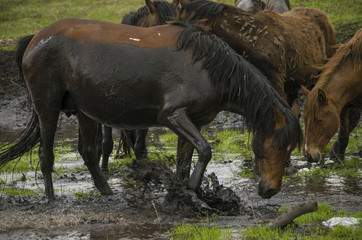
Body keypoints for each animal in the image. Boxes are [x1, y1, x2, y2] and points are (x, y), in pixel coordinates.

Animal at [0, 19, 302, 201]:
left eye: (290, 150)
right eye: (274, 147)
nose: (270, 190)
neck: (207, 67)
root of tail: (36, 38)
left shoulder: (194, 122)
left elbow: (186, 161)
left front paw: (185, 193)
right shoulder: (172, 115)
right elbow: (206, 150)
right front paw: (193, 188)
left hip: (85, 112)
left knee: (88, 152)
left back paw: (107, 192)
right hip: (47, 108)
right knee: (46, 155)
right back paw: (51, 199)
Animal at [304, 27, 360, 163]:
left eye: (320, 120)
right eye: (305, 119)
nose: (309, 156)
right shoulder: (347, 105)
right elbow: (344, 133)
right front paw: (337, 157)